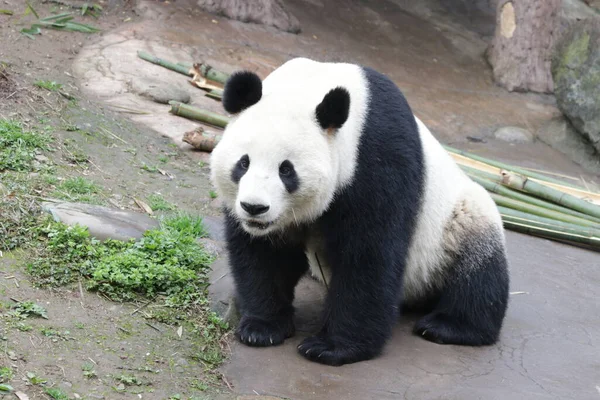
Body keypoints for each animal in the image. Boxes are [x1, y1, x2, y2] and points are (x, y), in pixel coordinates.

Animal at [209, 56, 508, 366]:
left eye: (286, 170)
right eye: (243, 163)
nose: (254, 208)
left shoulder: (376, 157)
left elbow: (368, 255)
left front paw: (331, 347)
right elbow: (265, 255)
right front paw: (262, 326)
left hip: (455, 224)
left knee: (478, 270)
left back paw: (449, 326)